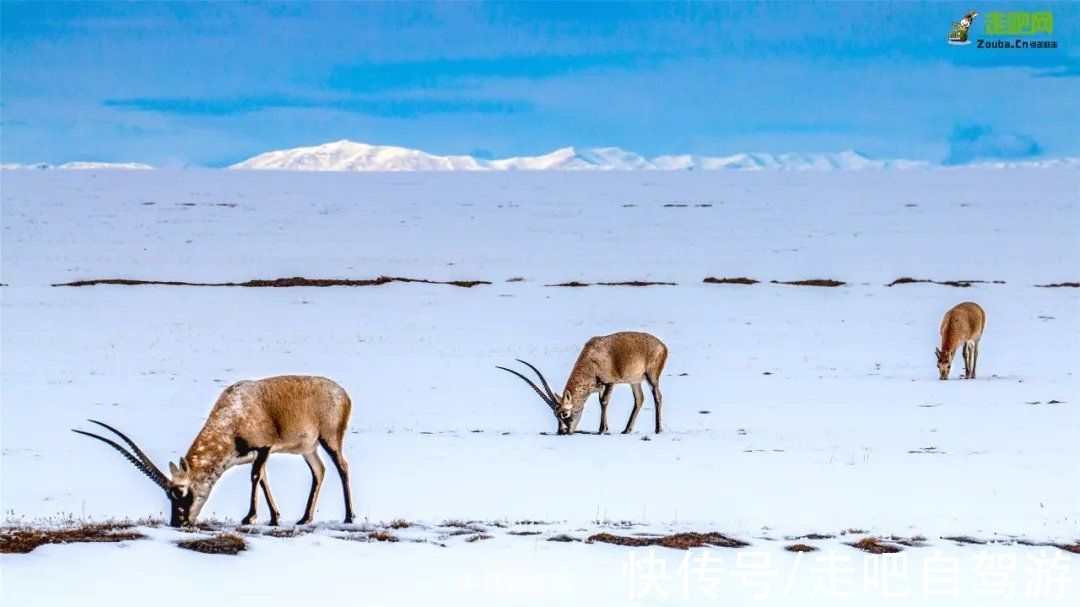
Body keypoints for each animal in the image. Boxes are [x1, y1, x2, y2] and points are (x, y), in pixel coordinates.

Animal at [72, 373, 358, 524]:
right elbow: (264, 479)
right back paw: (305, 518)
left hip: (330, 438)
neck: (232, 413)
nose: (179, 523)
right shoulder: (254, 455)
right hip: (308, 449)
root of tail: (344, 394)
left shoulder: (264, 447)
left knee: (343, 467)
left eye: (182, 493)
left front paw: (249, 517)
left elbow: (255, 476)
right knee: (319, 471)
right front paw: (275, 518)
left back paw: (349, 516)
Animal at [496, 328, 665, 432]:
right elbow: (601, 402)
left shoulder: (609, 383)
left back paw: (658, 429)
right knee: (639, 399)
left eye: (564, 414)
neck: (591, 357)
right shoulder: (600, 387)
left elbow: (604, 402)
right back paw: (626, 430)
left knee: (658, 396)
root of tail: (662, 346)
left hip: (652, 377)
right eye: (555, 415)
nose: (562, 432)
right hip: (635, 381)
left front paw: (601, 430)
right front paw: (606, 428)